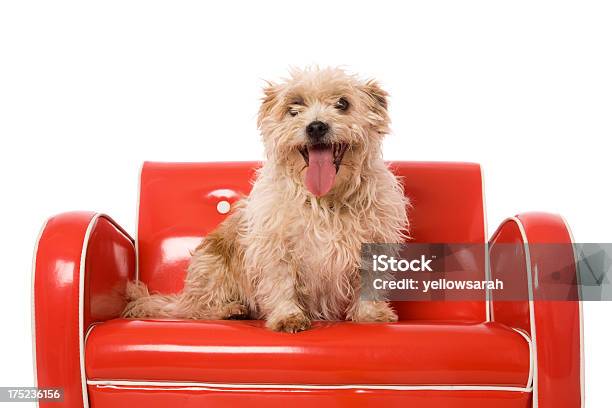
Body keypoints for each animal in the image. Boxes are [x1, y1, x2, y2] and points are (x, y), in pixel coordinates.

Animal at [122, 67, 408, 334]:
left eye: (342, 103)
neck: (324, 200)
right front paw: (287, 316)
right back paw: (228, 310)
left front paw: (370, 314)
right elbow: (282, 282)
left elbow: (370, 280)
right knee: (197, 309)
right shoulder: (275, 247)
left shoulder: (374, 243)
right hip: (212, 266)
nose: (316, 126)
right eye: (294, 108)